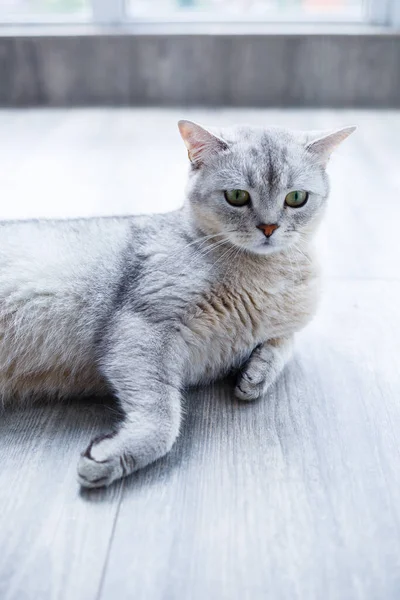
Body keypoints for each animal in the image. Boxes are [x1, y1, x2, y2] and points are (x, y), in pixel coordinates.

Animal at [0, 119, 356, 486]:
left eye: (296, 198)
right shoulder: (142, 325)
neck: (266, 276)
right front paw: (114, 454)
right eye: (237, 196)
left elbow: (286, 343)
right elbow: (163, 416)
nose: (269, 228)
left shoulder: (285, 324)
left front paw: (257, 374)